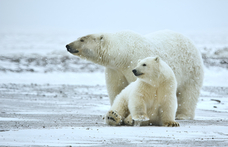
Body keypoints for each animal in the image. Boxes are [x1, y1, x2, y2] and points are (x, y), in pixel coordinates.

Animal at [66, 30, 205, 120]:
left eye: (82, 39)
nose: (68, 45)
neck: (123, 54)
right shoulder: (115, 70)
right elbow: (116, 89)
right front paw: (114, 112)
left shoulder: (135, 64)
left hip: (191, 70)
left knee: (188, 93)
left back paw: (182, 115)